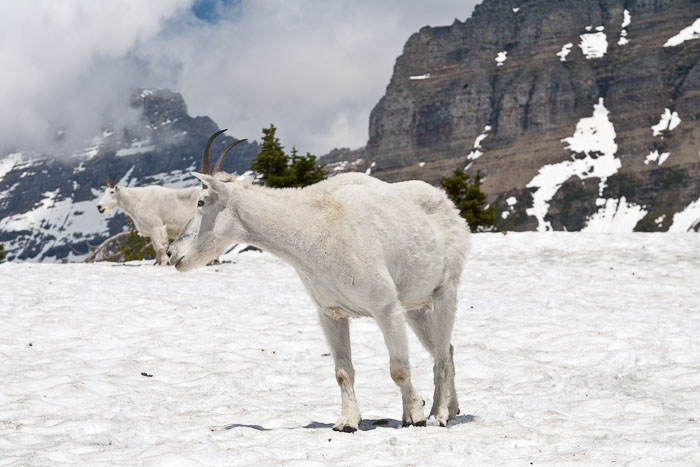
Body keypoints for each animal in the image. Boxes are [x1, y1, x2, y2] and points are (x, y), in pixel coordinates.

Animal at [167, 131, 470, 432]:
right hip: (415, 308)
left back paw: (439, 414)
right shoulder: (332, 313)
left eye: (201, 202)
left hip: (446, 290)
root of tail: (449, 206)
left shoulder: (386, 308)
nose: (172, 253)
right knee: (447, 349)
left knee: (442, 355)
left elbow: (399, 369)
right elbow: (343, 372)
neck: (315, 225)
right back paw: (452, 408)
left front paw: (414, 415)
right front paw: (346, 422)